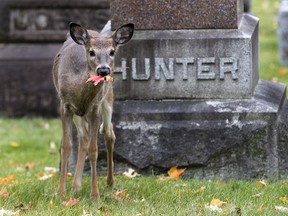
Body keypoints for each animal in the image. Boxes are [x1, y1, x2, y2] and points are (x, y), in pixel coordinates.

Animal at [52, 21, 134, 199]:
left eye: (112, 51)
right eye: (91, 52)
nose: (103, 70)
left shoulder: (95, 108)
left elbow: (94, 149)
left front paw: (95, 194)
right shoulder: (65, 105)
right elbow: (66, 146)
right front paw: (60, 192)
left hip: (108, 97)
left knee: (109, 134)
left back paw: (109, 182)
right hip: (79, 113)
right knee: (83, 137)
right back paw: (76, 186)